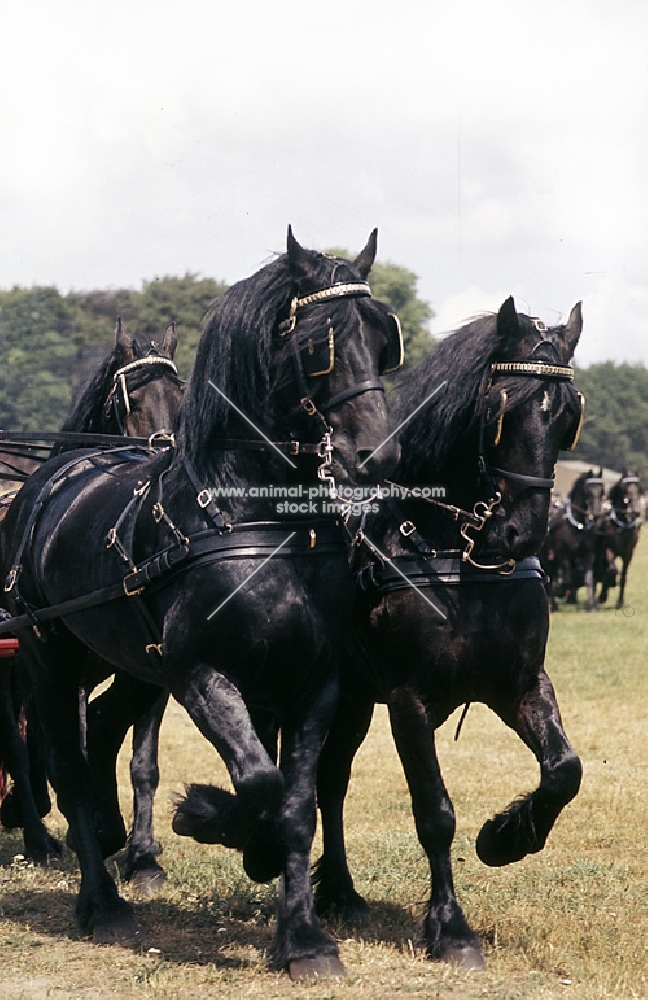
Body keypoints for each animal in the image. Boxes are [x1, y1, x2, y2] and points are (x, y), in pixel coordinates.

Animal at [0, 318, 182, 860]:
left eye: (179, 394)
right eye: (131, 402)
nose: (164, 453)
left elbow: (140, 760)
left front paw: (141, 851)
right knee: (16, 739)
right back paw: (38, 836)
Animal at [312, 294, 584, 968]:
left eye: (568, 415)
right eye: (500, 410)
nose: (522, 533)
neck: (459, 557)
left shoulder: (520, 683)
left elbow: (564, 769)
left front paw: (506, 837)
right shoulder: (409, 701)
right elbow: (434, 812)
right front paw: (451, 927)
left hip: (353, 701)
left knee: (330, 780)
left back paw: (339, 891)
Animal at [540, 468, 608, 608]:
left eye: (602, 490)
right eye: (588, 490)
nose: (597, 514)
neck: (578, 526)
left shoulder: (588, 554)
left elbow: (588, 578)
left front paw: (591, 604)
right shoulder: (564, 554)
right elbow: (568, 580)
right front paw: (561, 591)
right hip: (546, 556)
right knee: (551, 574)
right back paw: (552, 602)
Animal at [596, 472, 644, 604]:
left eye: (639, 488)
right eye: (625, 489)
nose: (636, 512)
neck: (622, 526)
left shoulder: (628, 554)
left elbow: (623, 576)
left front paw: (620, 602)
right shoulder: (607, 549)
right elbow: (612, 570)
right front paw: (603, 595)